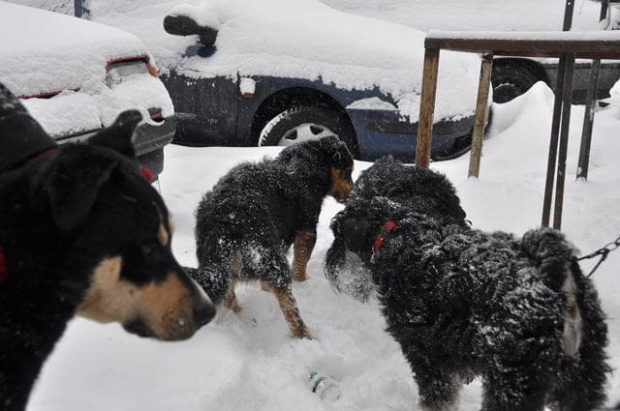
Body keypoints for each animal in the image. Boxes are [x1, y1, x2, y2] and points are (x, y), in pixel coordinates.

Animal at [186, 137, 354, 340]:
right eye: (348, 171)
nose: (353, 194)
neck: (308, 163)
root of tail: (222, 226)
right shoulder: (307, 230)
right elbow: (300, 265)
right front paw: (304, 282)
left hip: (228, 269)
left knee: (228, 296)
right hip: (270, 260)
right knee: (289, 308)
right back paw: (304, 335)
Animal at [326, 158, 608, 411]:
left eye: (336, 232)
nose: (332, 266)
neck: (400, 234)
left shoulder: (425, 355)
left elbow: (437, 399)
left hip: (513, 382)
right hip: (580, 378)